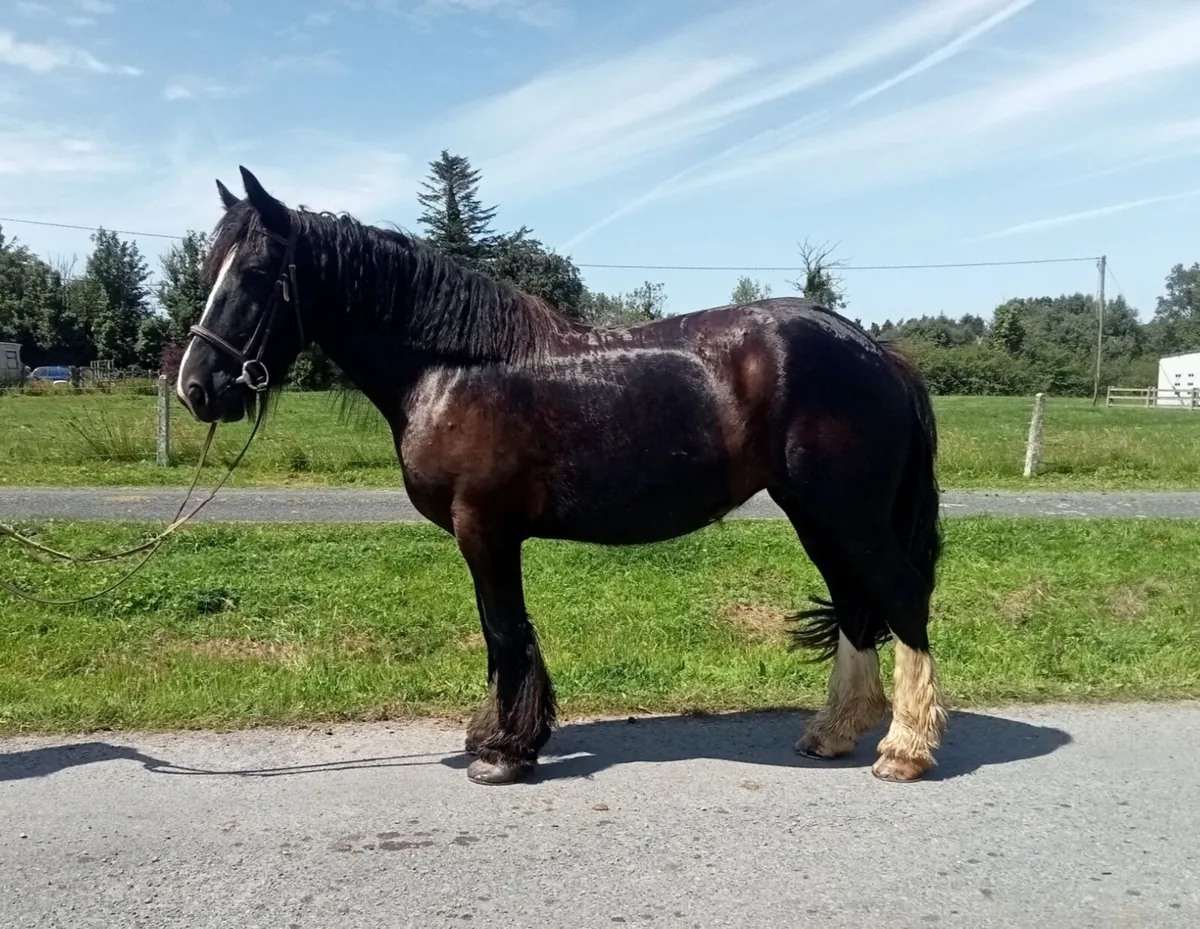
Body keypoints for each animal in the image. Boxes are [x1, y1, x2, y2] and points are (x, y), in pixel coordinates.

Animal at [176, 166, 948, 786]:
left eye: (255, 275)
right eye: (212, 269)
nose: (197, 388)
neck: (456, 369)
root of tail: (874, 349)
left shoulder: (484, 528)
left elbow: (503, 630)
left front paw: (505, 751)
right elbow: (500, 634)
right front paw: (498, 734)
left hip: (847, 512)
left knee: (901, 595)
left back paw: (905, 749)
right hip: (816, 513)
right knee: (855, 603)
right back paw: (833, 733)